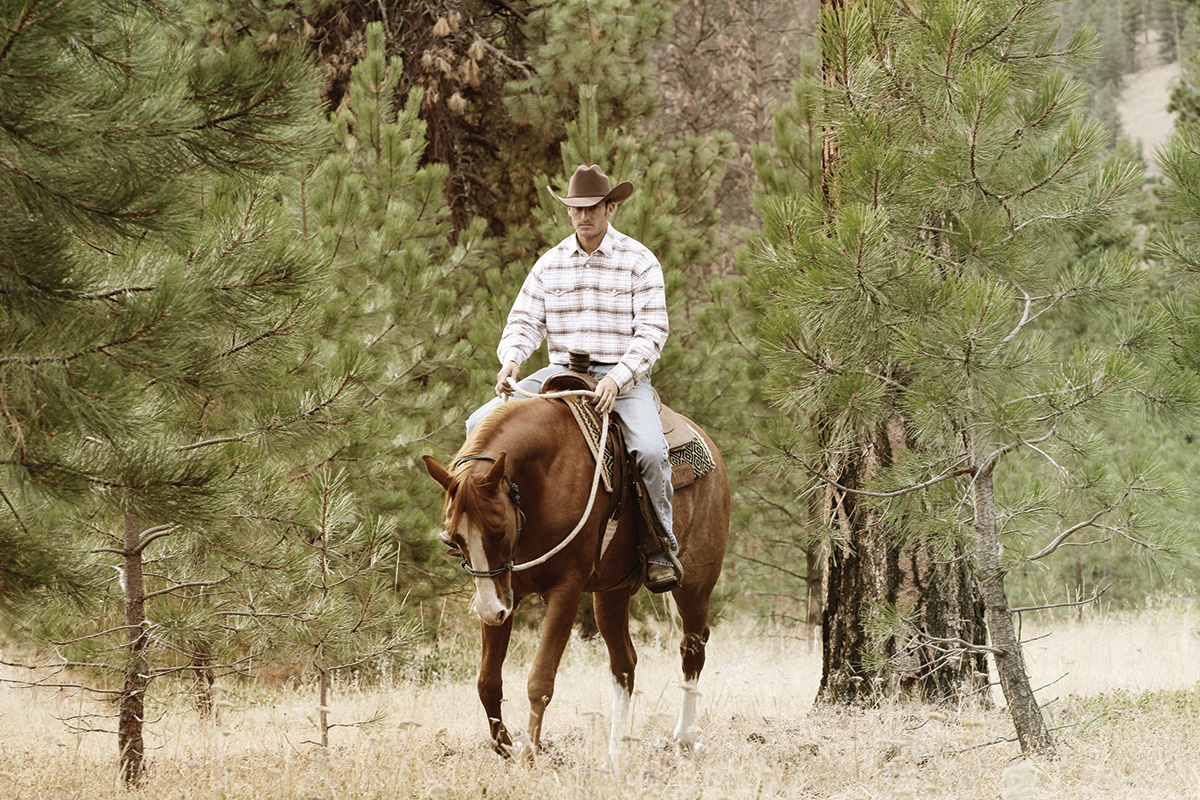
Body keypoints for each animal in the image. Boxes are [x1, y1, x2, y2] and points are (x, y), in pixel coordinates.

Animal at [422, 383, 729, 767]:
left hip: (695, 584)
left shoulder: (564, 590)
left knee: (692, 649)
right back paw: (615, 756)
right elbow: (488, 682)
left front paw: (530, 755)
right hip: (610, 594)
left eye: (498, 531)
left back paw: (685, 739)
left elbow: (540, 681)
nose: (489, 611)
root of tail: (710, 448)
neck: (543, 479)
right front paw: (507, 747)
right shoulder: (505, 591)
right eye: (454, 539)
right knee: (624, 665)